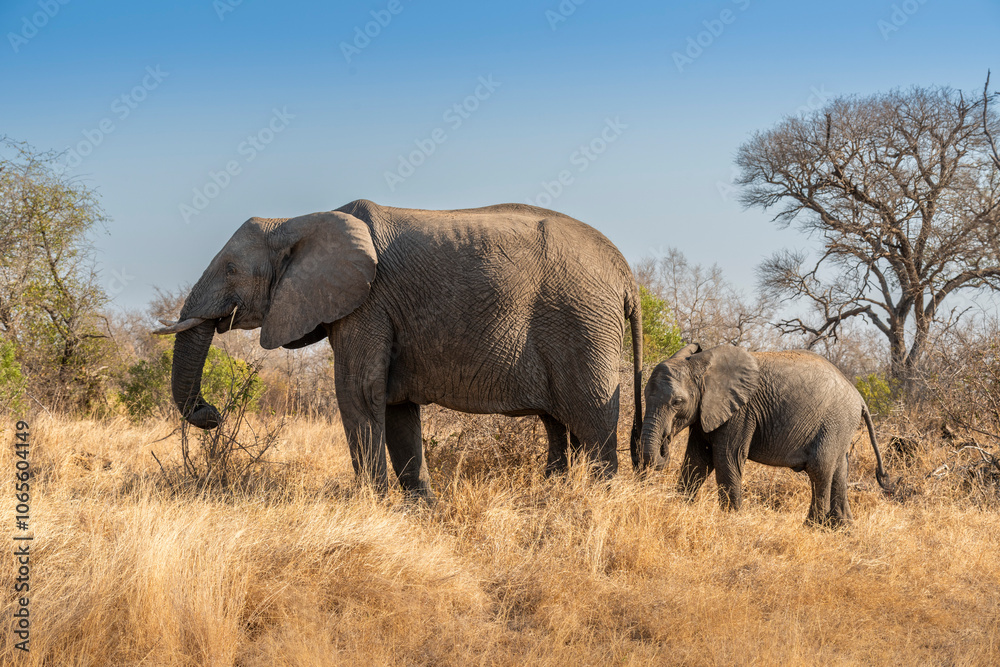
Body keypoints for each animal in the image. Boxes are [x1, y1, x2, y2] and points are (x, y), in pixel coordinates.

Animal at [155, 199, 644, 501]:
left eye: (231, 269)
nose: (212, 414)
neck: (297, 220)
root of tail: (626, 275)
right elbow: (394, 406)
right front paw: (421, 508)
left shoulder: (367, 301)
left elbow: (357, 393)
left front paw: (370, 503)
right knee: (561, 425)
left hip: (583, 322)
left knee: (593, 420)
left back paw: (600, 501)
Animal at [638, 343, 892, 526]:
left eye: (677, 402)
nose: (665, 442)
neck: (701, 366)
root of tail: (860, 398)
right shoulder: (706, 412)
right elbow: (697, 461)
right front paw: (678, 507)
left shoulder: (741, 412)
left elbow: (726, 458)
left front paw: (732, 520)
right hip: (840, 427)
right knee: (840, 470)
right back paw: (842, 530)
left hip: (834, 423)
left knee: (820, 469)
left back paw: (812, 528)